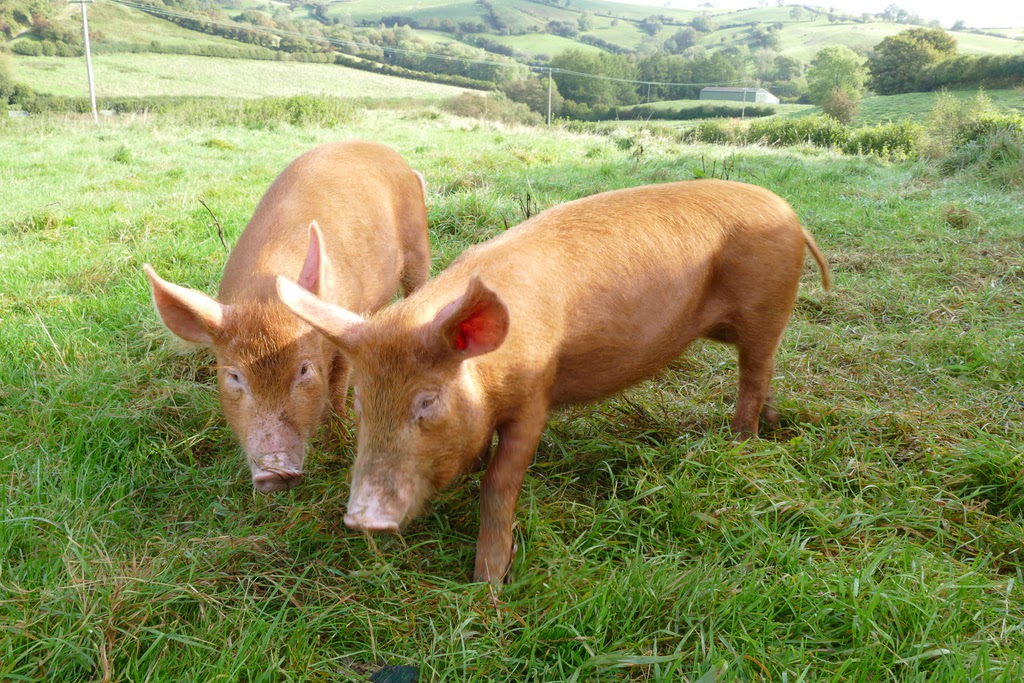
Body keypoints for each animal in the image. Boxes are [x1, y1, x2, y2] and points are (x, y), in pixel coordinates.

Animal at [147, 140, 428, 491]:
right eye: (234, 376)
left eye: (304, 370)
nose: (274, 471)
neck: (265, 291)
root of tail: (397, 159)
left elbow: (336, 392)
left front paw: (338, 449)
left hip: (418, 242)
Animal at [276, 180, 827, 581]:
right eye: (362, 404)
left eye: (427, 402)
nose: (362, 517)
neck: (490, 373)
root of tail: (791, 213)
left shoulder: (535, 396)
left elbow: (500, 482)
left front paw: (488, 586)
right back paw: (772, 422)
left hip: (767, 306)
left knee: (754, 372)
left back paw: (742, 441)